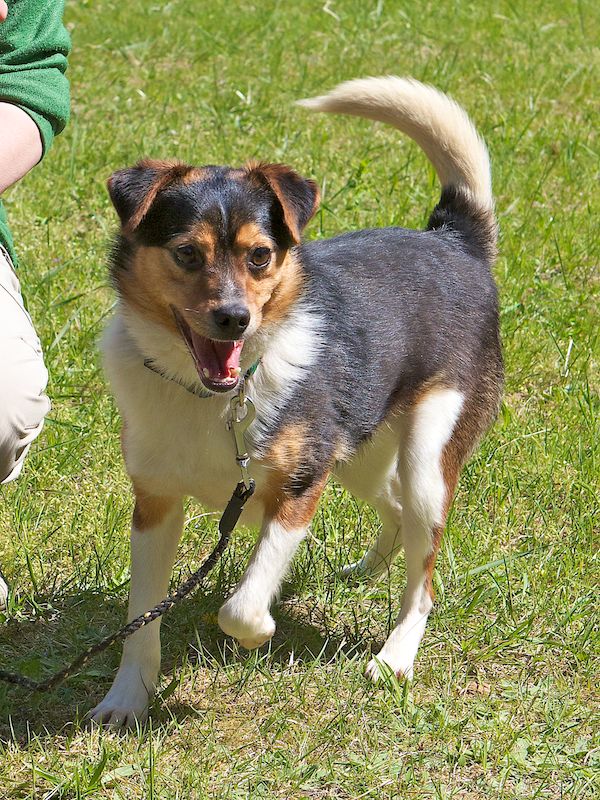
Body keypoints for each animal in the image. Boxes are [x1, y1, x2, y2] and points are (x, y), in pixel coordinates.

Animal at [90, 77, 502, 726]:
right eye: (186, 253)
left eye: (260, 256)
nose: (235, 319)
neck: (216, 398)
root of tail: (453, 241)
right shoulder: (154, 504)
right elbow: (139, 619)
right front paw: (127, 697)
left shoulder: (299, 486)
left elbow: (241, 604)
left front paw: (258, 631)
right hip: (359, 450)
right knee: (391, 509)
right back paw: (363, 570)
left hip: (426, 459)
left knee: (424, 576)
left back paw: (395, 657)